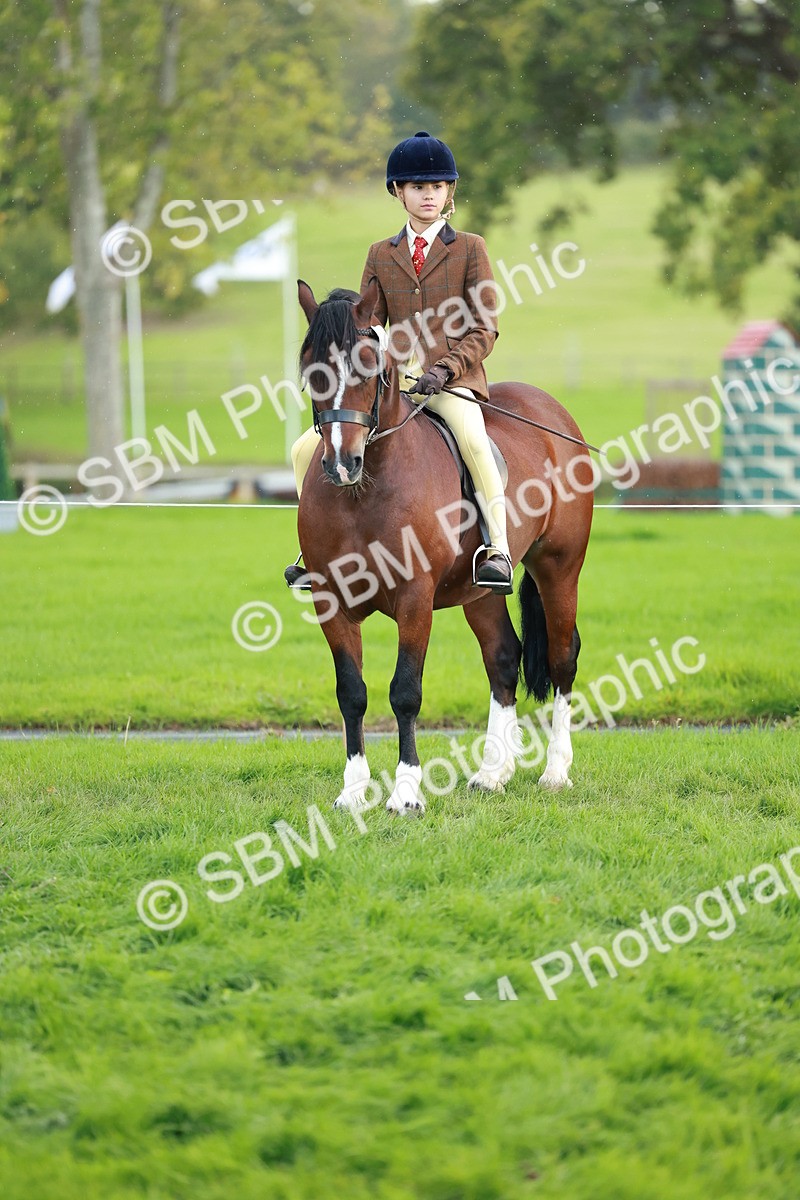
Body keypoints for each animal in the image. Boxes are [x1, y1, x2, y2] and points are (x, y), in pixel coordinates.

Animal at [294, 277, 594, 814]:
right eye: (312, 370)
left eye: (369, 366)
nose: (341, 463)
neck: (364, 492)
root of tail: (553, 411)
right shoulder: (331, 600)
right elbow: (351, 692)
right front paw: (353, 792)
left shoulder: (415, 600)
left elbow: (405, 692)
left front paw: (405, 793)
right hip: (479, 592)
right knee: (503, 658)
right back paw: (492, 774)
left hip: (560, 567)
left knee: (563, 656)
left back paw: (556, 772)